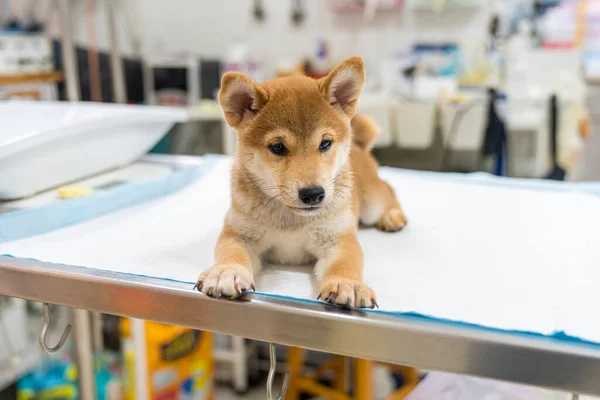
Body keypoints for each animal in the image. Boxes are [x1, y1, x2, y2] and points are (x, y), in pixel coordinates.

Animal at [195, 56, 406, 308]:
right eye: (277, 147)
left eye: (325, 143)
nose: (313, 194)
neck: (291, 220)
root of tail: (359, 147)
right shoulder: (239, 233)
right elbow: (230, 252)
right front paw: (226, 272)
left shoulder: (337, 238)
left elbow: (344, 263)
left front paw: (348, 283)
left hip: (372, 202)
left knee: (390, 189)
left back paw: (393, 216)